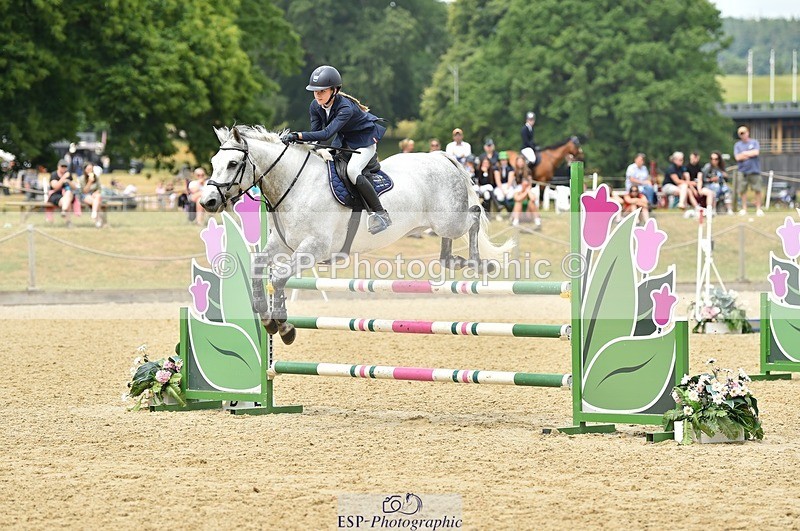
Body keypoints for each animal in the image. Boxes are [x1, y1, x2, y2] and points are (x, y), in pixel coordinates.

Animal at [200, 125, 514, 344]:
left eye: (232, 164)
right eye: (214, 161)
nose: (207, 202)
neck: (296, 185)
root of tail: (441, 156)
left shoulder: (314, 247)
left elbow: (277, 278)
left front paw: (285, 327)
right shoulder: (283, 244)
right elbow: (258, 268)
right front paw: (267, 320)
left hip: (449, 220)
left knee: (474, 214)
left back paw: (480, 263)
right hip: (441, 223)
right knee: (451, 243)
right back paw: (455, 261)